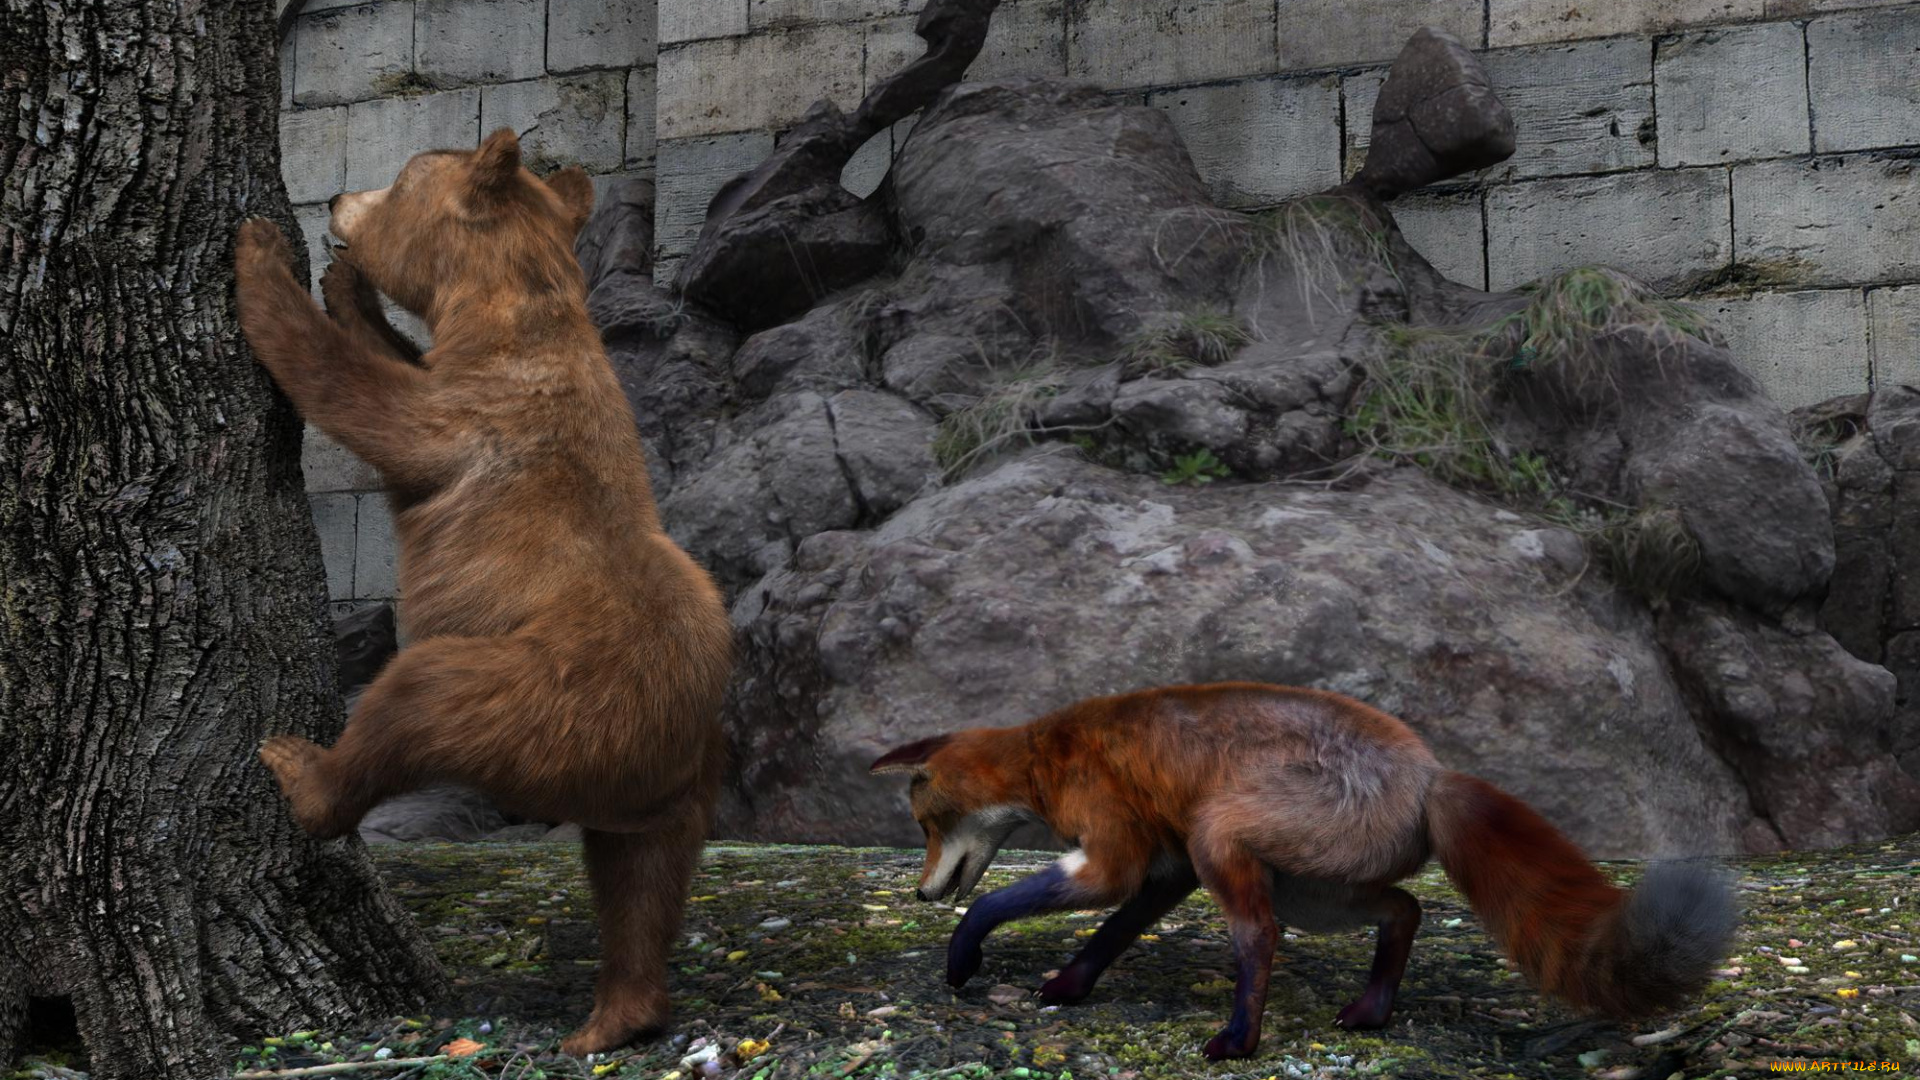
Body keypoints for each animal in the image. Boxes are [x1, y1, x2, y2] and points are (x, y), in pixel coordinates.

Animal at [232, 127, 734, 1056]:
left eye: (399, 178)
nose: (337, 203)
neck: (508, 311)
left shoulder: (475, 418)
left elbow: (354, 393)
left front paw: (263, 252)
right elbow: (387, 357)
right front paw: (345, 286)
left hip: (541, 697)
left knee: (414, 699)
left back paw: (300, 768)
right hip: (673, 777)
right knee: (643, 878)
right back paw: (616, 1016)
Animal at [870, 681, 1735, 1061]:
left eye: (926, 827)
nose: (920, 890)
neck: (1047, 755)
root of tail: (1432, 775)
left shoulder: (1117, 857)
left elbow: (1007, 903)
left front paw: (963, 956)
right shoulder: (1169, 870)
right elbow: (1110, 937)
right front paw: (1069, 987)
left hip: (1229, 840)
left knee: (1262, 936)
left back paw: (1239, 1040)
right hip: (1312, 888)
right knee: (1404, 910)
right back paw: (1373, 1010)